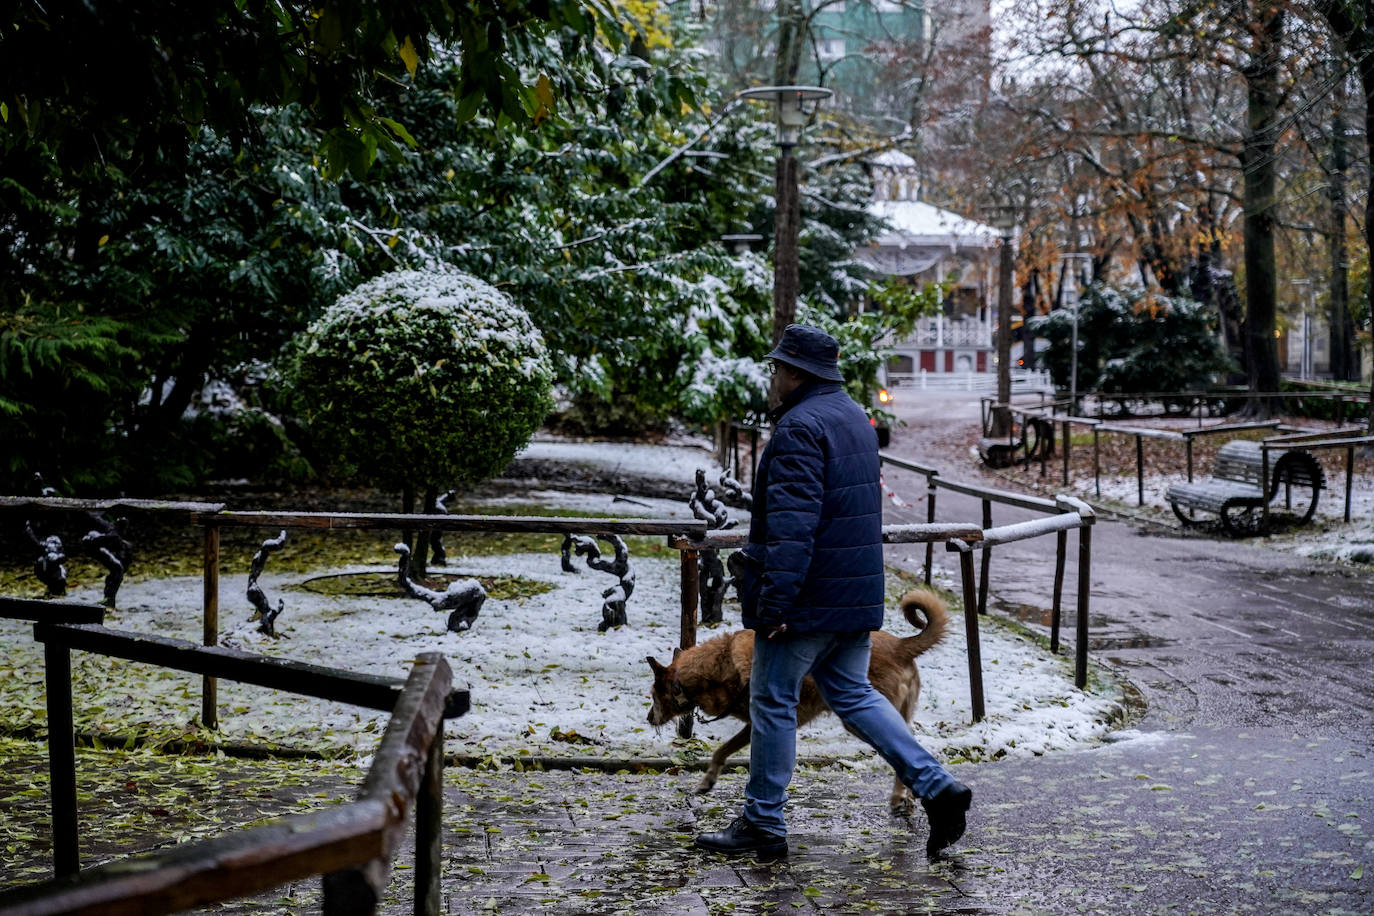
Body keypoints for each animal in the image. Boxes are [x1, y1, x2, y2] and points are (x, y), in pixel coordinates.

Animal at [648, 590, 950, 813]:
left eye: (652, 695)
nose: (648, 718)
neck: (718, 668)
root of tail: (901, 646)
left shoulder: (757, 723)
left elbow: (722, 751)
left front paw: (711, 782)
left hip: (858, 720)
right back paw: (909, 796)